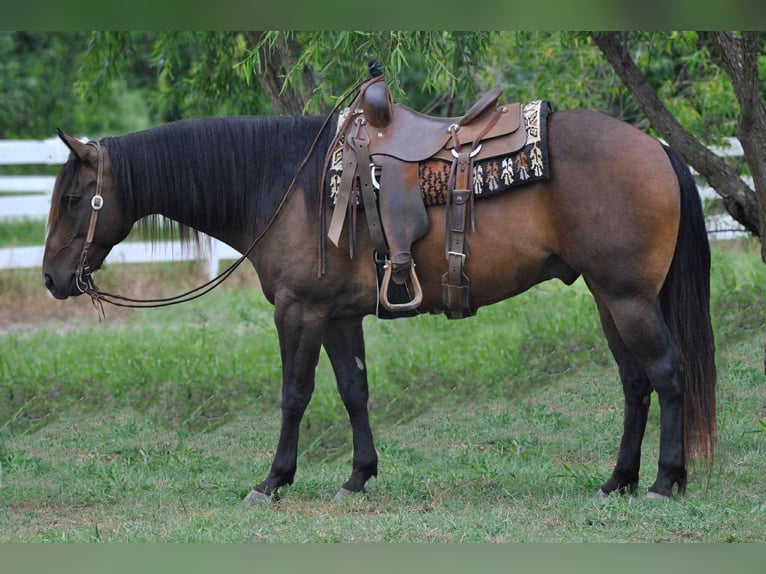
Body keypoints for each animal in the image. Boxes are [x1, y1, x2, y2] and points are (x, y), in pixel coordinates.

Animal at [42, 103, 716, 502]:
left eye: (75, 198)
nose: (51, 278)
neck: (287, 183)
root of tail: (658, 148)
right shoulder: (337, 314)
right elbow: (354, 390)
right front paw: (359, 475)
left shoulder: (299, 312)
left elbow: (294, 395)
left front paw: (273, 479)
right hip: (609, 299)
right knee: (635, 383)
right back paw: (618, 480)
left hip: (629, 298)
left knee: (667, 373)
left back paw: (665, 481)